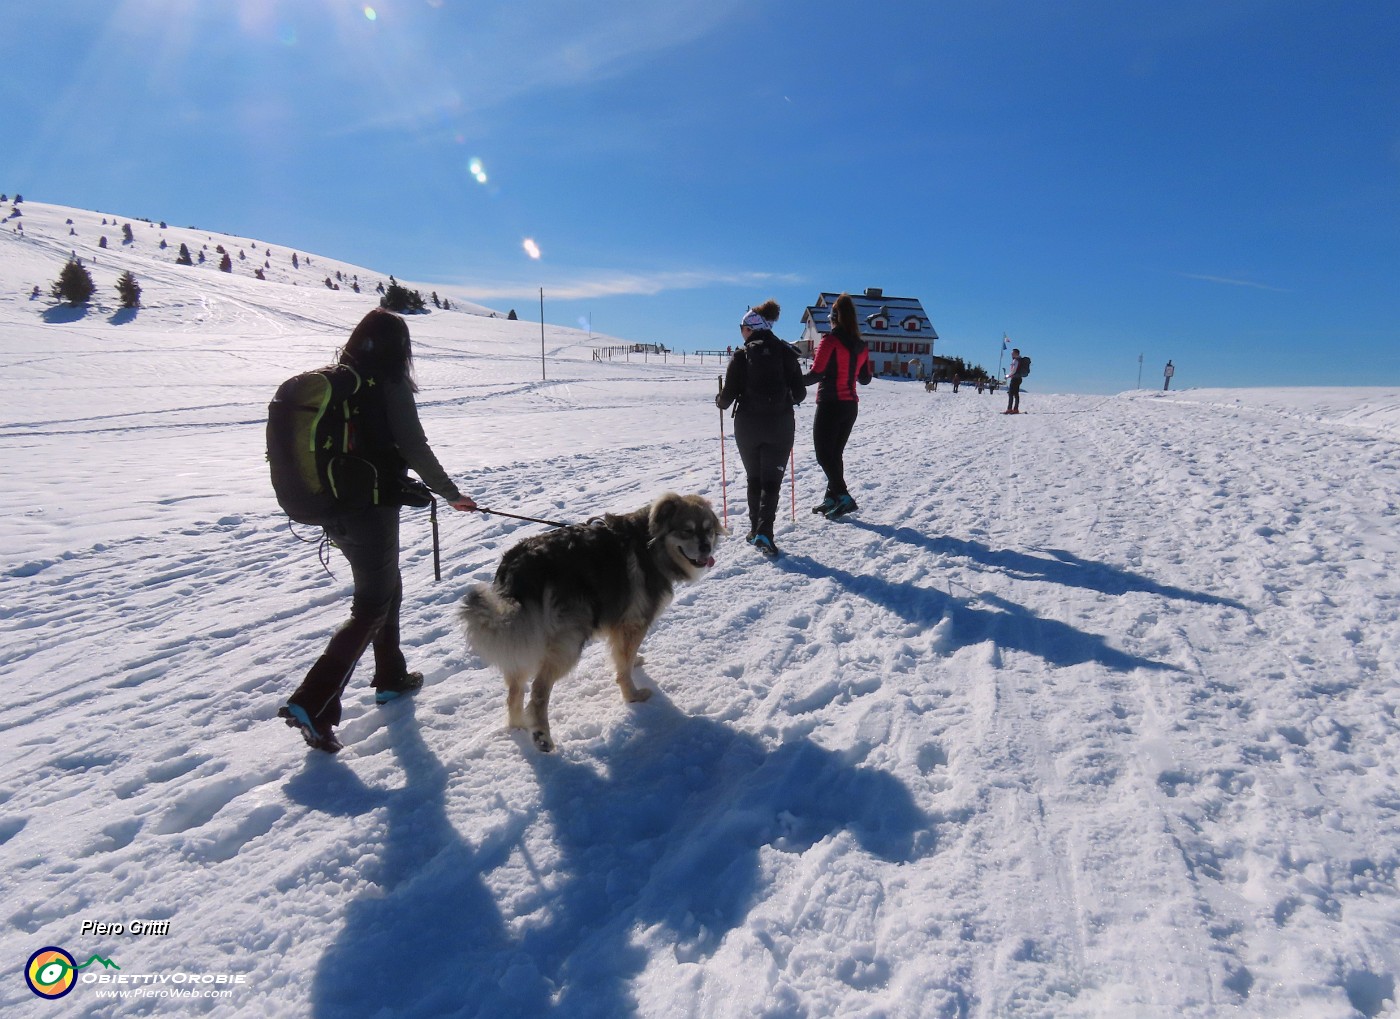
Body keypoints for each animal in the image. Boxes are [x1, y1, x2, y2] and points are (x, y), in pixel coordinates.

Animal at [462, 495, 728, 755]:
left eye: (708, 530)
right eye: (687, 530)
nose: (706, 547)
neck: (650, 545)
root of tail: (519, 568)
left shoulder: (620, 625)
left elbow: (624, 657)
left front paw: (635, 662)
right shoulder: (635, 621)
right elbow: (623, 666)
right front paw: (632, 695)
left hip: (524, 637)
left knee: (514, 691)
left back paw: (518, 725)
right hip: (568, 641)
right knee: (538, 690)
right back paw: (541, 736)